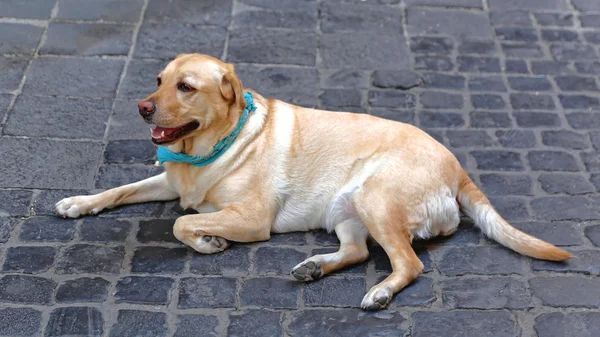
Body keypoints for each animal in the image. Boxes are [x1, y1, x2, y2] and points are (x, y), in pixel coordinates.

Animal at [55, 53, 572, 308]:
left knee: (408, 264)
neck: (213, 146)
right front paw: (80, 201)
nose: (142, 107)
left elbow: (183, 224)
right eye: (158, 80)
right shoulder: (171, 180)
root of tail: (458, 166)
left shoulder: (251, 219)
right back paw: (314, 267)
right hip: (346, 211)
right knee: (358, 252)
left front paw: (208, 242)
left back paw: (379, 292)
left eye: (186, 87)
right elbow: (120, 190)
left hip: (374, 198)